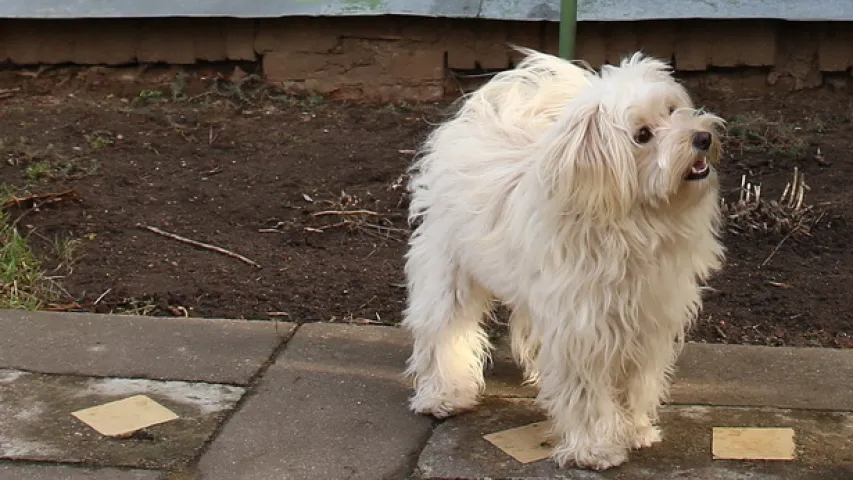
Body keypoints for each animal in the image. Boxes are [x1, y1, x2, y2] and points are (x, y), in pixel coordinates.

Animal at [402, 47, 724, 468]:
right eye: (642, 136)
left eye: (671, 110)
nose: (702, 137)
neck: (634, 223)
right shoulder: (582, 326)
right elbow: (586, 390)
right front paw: (595, 447)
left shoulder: (647, 318)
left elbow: (635, 379)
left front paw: (634, 429)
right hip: (449, 269)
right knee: (443, 329)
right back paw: (444, 393)